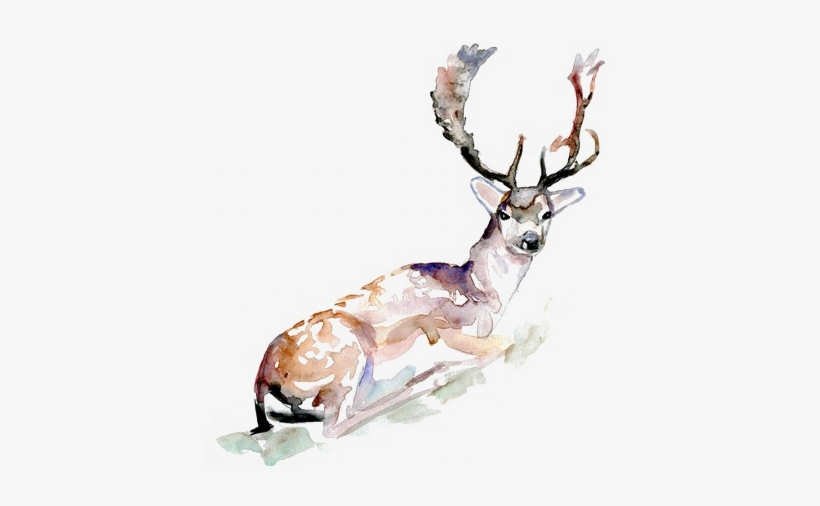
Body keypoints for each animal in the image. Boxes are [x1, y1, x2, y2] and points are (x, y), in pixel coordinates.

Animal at [251, 45, 604, 438]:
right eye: (503, 212)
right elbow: (501, 342)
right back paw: (423, 379)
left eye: (547, 214)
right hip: (348, 356)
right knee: (336, 424)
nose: (530, 240)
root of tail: (263, 378)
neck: (483, 293)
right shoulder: (446, 324)